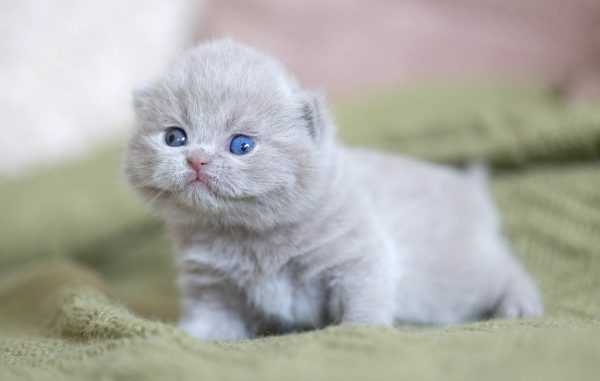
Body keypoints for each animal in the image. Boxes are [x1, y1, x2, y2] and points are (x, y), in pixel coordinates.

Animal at [126, 39, 544, 338]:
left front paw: (362, 334)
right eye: (175, 137)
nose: (197, 159)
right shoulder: (211, 285)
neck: (248, 237)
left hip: (459, 273)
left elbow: (363, 306)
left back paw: (520, 306)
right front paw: (187, 337)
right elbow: (211, 323)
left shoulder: (360, 257)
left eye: (242, 145)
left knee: (506, 268)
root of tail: (469, 188)